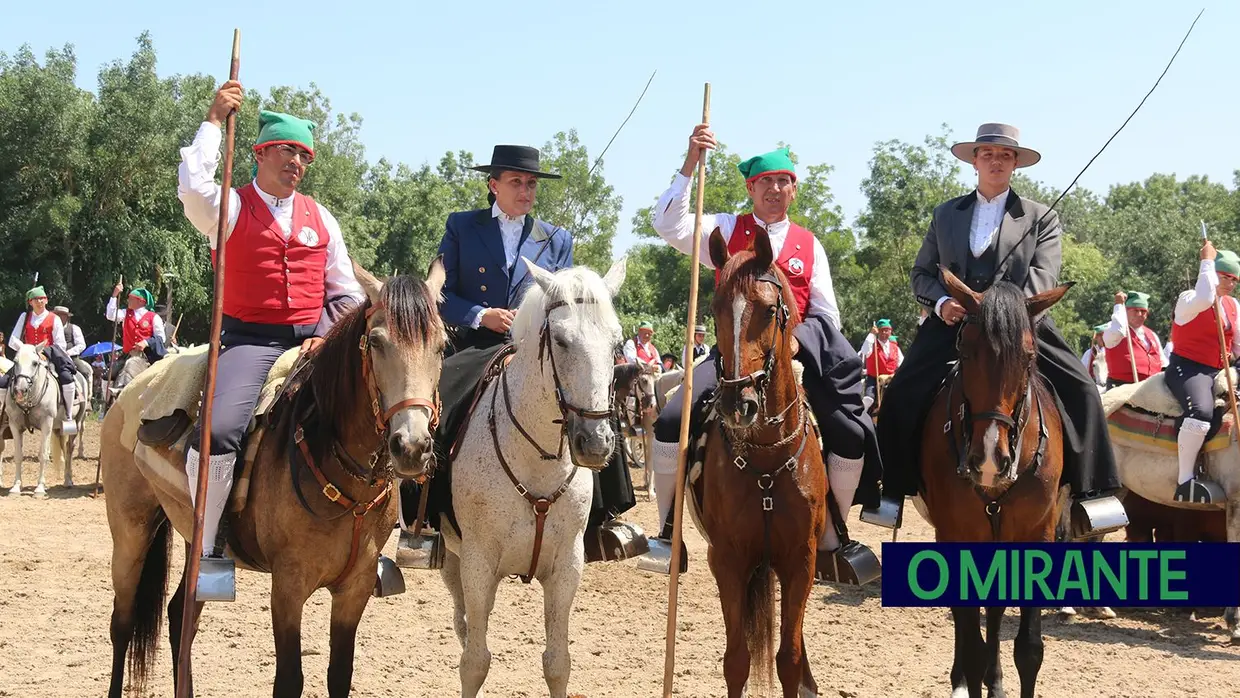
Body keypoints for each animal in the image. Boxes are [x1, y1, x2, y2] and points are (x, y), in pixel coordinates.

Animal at [3, 344, 88, 495]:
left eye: (35, 363)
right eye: (15, 362)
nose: (20, 390)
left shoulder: (46, 424)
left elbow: (43, 455)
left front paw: (40, 488)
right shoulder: (15, 425)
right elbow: (18, 455)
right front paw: (16, 487)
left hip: (76, 424)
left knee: (69, 450)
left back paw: (68, 480)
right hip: (58, 429)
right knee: (64, 449)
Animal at [101, 262, 448, 698]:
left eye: (441, 346)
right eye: (377, 342)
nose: (412, 446)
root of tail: (131, 392)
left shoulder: (355, 589)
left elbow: (340, 675)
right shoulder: (288, 586)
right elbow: (289, 680)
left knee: (181, 616)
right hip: (130, 530)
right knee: (123, 622)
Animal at [438, 257, 629, 698]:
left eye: (616, 344)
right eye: (560, 340)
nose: (595, 442)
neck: (537, 456)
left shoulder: (566, 568)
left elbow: (557, 664)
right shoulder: (478, 563)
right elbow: (474, 663)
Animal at [699, 228, 823, 698]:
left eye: (770, 310)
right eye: (715, 308)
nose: (739, 404)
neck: (768, 458)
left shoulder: (801, 561)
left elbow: (788, 658)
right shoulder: (728, 560)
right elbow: (737, 661)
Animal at [917, 269, 1071, 698]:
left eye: (1030, 357)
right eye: (966, 351)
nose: (988, 460)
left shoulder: (1037, 536)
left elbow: (1029, 649)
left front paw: (998, 676)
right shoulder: (958, 535)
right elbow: (971, 643)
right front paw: (969, 676)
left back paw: (995, 679)